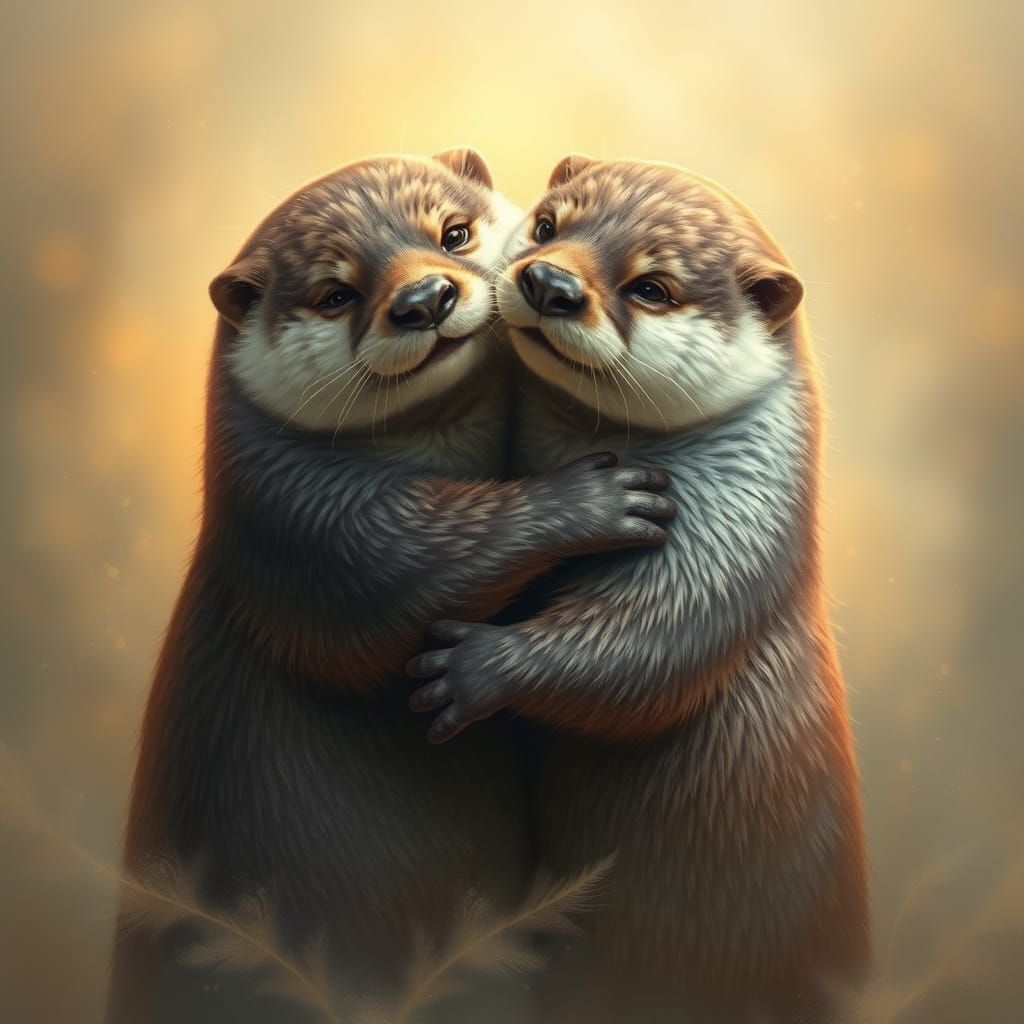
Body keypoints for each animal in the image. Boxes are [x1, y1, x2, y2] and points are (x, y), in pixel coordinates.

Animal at [105, 150, 675, 1024]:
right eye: (335, 292)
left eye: (454, 232)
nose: (424, 299)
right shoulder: (299, 525)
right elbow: (405, 572)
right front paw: (594, 499)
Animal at [407, 156, 869, 1023]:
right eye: (548, 225)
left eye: (652, 287)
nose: (550, 281)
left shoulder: (737, 525)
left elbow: (652, 648)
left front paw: (473, 669)